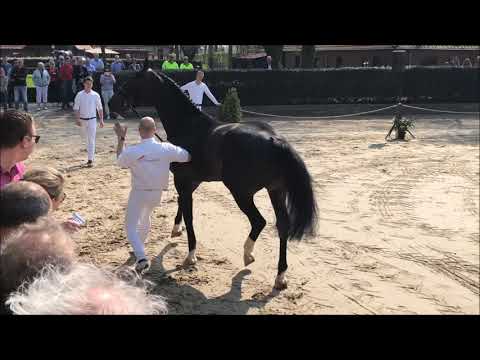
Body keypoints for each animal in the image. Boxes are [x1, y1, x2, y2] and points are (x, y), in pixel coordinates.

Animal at [109, 68, 318, 290]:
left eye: (134, 81)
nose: (112, 103)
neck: (189, 127)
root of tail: (274, 140)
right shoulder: (191, 183)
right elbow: (181, 206)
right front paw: (176, 230)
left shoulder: (183, 181)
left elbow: (189, 215)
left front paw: (190, 256)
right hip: (276, 191)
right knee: (282, 226)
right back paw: (280, 276)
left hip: (242, 193)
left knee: (259, 221)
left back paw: (248, 254)